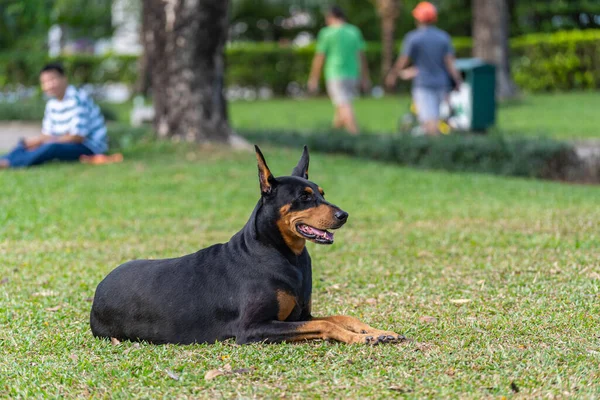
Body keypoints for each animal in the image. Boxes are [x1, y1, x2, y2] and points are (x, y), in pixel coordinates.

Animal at [89, 145, 406, 346]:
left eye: (322, 193)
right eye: (304, 197)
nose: (344, 215)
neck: (282, 255)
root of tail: (98, 290)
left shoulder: (301, 315)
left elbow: (342, 316)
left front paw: (377, 332)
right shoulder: (251, 329)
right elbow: (327, 324)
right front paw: (360, 337)